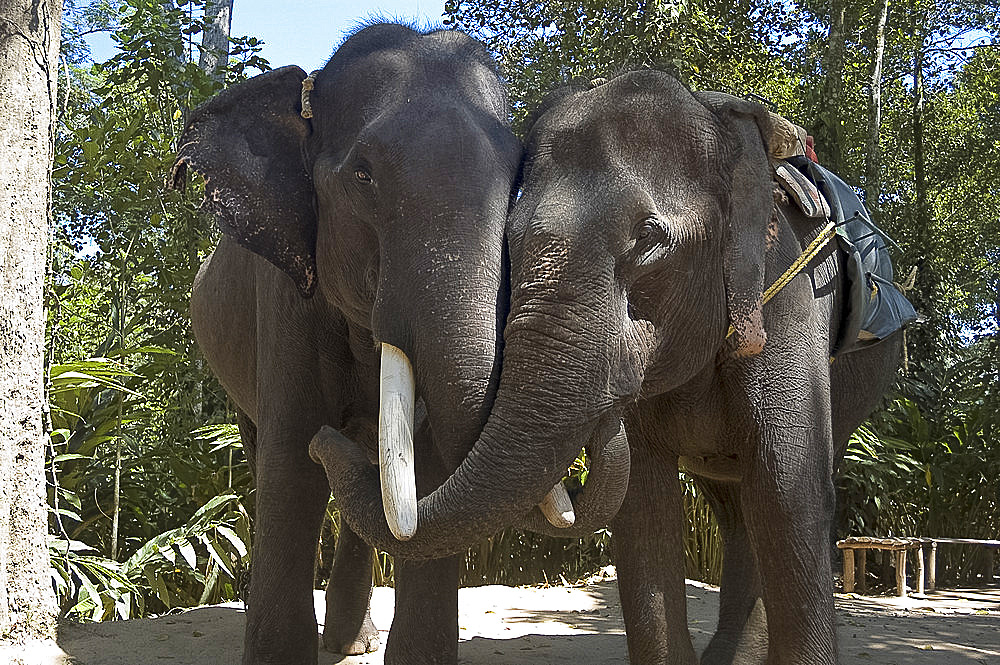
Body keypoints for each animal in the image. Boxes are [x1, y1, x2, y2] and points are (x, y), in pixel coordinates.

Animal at [312, 68, 908, 664]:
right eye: (510, 238)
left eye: (649, 238)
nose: (323, 440)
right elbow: (643, 505)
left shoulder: (788, 298)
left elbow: (788, 488)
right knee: (730, 502)